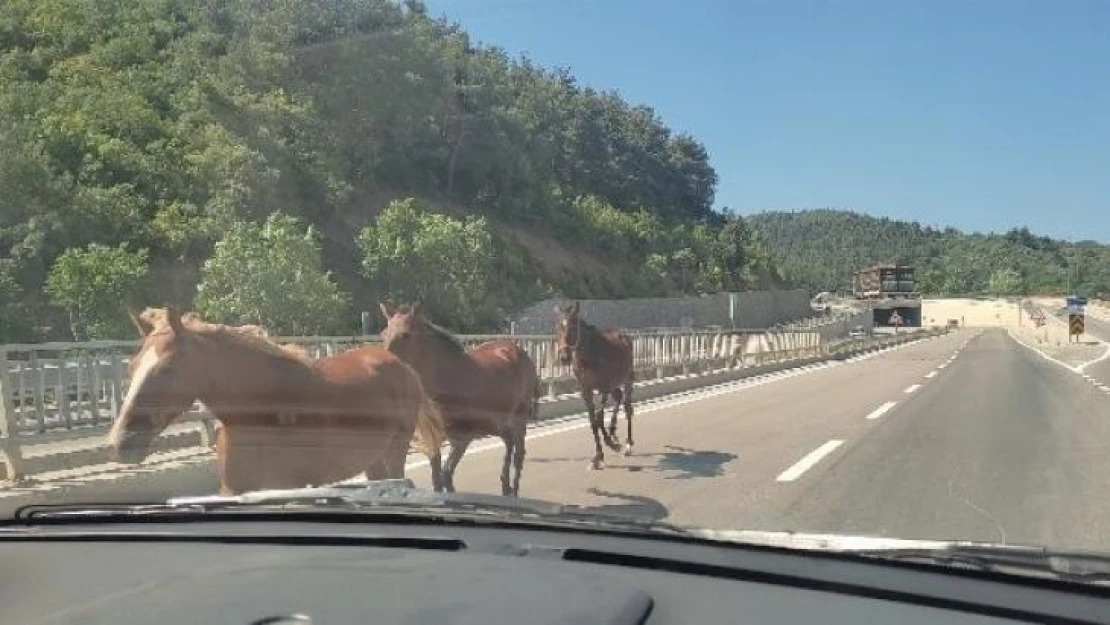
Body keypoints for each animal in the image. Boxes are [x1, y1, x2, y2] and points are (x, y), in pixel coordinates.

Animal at [109, 306, 446, 495]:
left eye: (167, 368)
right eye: (131, 366)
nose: (120, 442)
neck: (260, 415)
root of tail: (401, 365)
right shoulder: (232, 490)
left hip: (395, 449)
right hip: (373, 457)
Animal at [379, 304, 539, 499]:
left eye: (406, 334)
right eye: (383, 334)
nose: (385, 364)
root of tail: (518, 351)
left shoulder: (462, 438)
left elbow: (446, 475)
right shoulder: (433, 440)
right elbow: (437, 479)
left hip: (518, 417)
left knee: (518, 453)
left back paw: (513, 491)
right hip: (499, 421)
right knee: (509, 442)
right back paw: (505, 487)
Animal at [552, 301, 634, 470]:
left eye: (573, 327)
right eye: (557, 327)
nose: (564, 357)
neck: (587, 357)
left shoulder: (604, 387)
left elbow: (598, 417)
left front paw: (610, 446)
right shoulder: (586, 390)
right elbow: (592, 420)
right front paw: (598, 455)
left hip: (627, 378)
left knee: (628, 407)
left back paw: (628, 445)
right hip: (615, 383)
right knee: (618, 397)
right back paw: (613, 432)